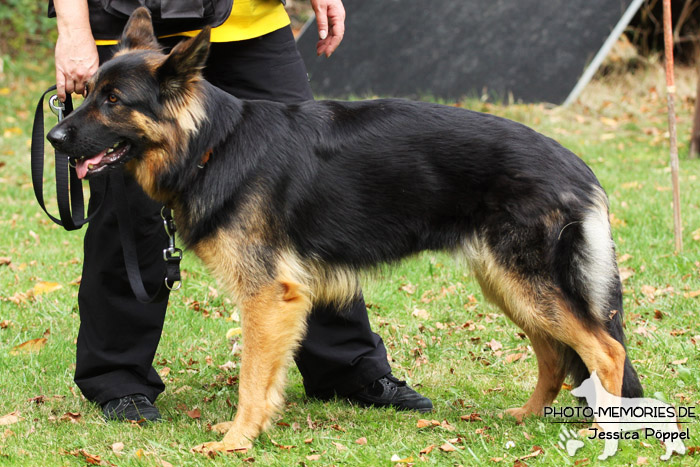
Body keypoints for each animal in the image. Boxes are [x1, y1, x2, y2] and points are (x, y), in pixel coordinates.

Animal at [46, 6, 644, 454]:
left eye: (114, 101)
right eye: (90, 91)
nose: (53, 137)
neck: (211, 145)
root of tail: (577, 165)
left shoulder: (268, 296)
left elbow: (251, 375)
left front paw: (236, 441)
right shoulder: (282, 301)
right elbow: (267, 376)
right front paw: (253, 430)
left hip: (528, 286)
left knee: (604, 351)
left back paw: (604, 435)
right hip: (508, 286)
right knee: (556, 354)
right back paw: (525, 415)